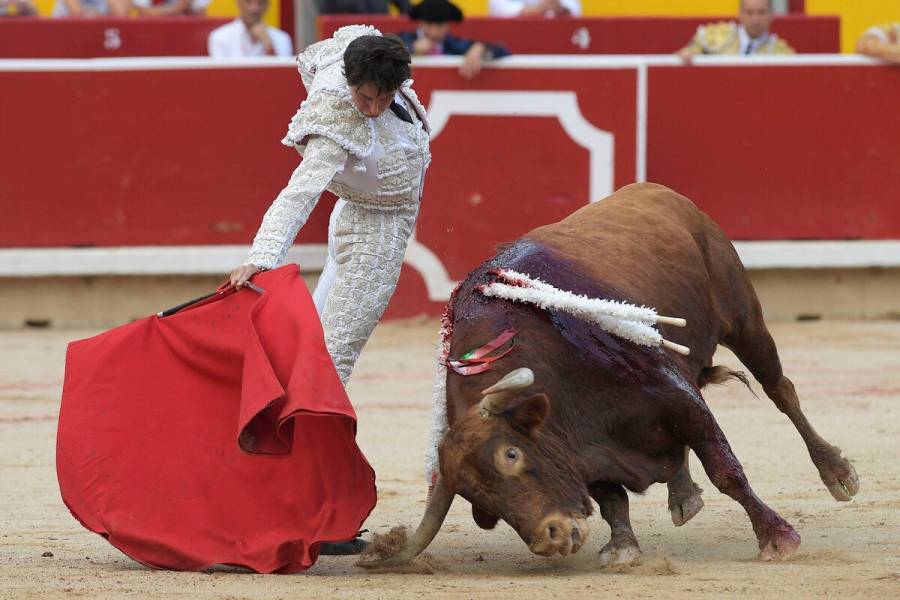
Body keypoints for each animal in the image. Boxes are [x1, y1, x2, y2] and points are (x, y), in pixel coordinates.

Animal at [366, 184, 856, 568]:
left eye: (511, 455)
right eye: (478, 500)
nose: (550, 537)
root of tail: (661, 192)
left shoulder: (677, 395)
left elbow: (726, 471)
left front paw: (777, 538)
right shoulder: (581, 442)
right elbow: (611, 498)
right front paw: (622, 548)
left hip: (744, 317)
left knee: (781, 390)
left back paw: (837, 473)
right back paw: (683, 494)